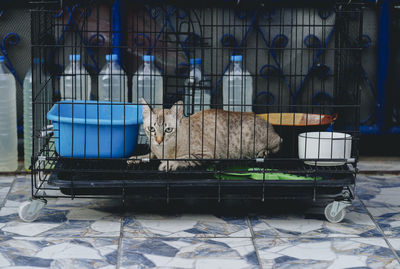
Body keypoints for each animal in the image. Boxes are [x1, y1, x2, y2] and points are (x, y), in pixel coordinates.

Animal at [128, 97, 282, 171]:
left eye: (168, 130)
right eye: (151, 129)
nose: (159, 140)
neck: (164, 150)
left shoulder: (206, 154)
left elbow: (184, 158)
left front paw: (169, 164)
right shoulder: (155, 150)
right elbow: (150, 155)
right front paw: (137, 158)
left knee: (278, 143)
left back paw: (264, 152)